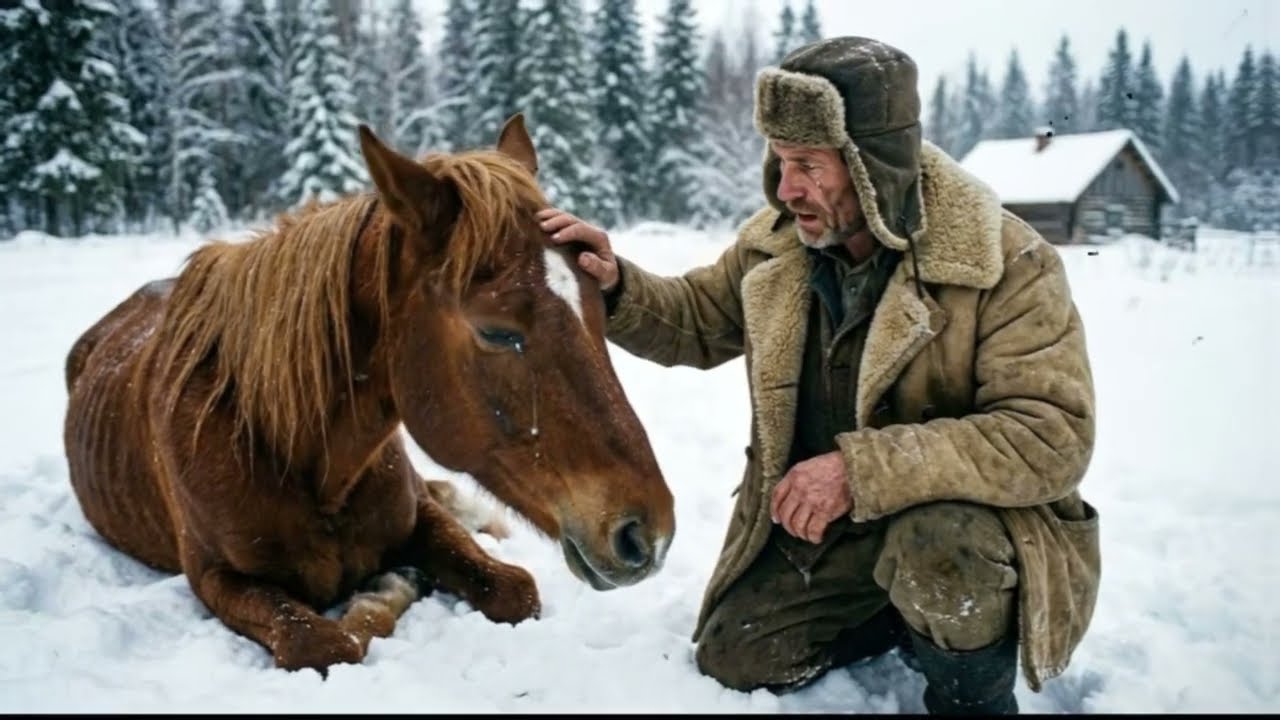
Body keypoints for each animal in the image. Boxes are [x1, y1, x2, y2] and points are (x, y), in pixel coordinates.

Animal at [61, 114, 675, 673]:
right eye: (497, 331)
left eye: (599, 309)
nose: (646, 533)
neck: (286, 446)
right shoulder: (216, 577)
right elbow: (323, 643)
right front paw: (390, 586)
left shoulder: (423, 517)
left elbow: (515, 587)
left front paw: (399, 578)